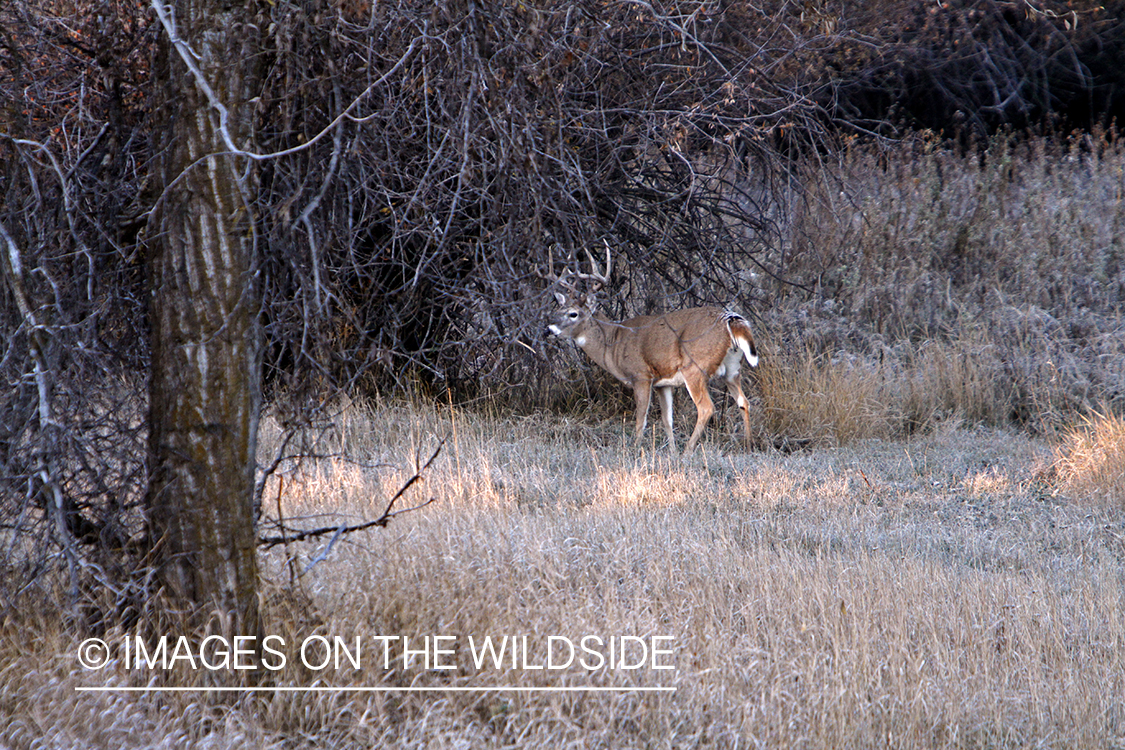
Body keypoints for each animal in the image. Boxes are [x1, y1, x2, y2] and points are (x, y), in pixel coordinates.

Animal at [542, 246, 756, 454]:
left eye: (573, 314)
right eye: (557, 310)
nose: (548, 329)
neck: (613, 342)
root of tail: (731, 320)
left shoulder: (641, 375)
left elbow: (641, 420)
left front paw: (636, 450)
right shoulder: (663, 383)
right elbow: (667, 420)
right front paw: (672, 452)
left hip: (695, 366)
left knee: (706, 408)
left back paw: (688, 451)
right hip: (732, 369)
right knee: (743, 401)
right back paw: (746, 447)